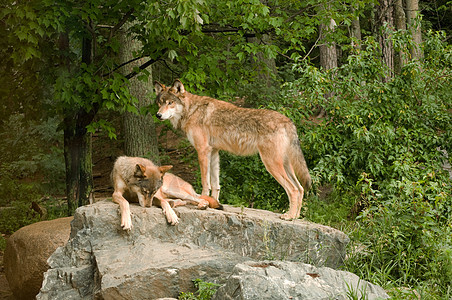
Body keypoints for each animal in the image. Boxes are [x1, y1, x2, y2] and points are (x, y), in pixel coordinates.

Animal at [154, 79, 310, 220]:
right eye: (160, 103)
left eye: (170, 103)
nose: (158, 115)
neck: (192, 110)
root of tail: (288, 121)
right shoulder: (214, 152)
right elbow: (216, 185)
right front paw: (214, 204)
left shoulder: (202, 150)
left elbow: (205, 183)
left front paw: (203, 203)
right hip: (285, 165)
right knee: (300, 188)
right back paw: (295, 217)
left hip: (271, 164)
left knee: (293, 189)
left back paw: (288, 216)